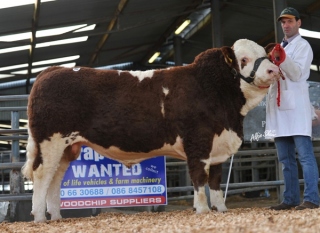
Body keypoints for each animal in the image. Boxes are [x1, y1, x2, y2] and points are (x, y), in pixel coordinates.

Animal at [22, 39, 278, 223]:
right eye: (244, 59)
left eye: (266, 56)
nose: (273, 70)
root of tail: (51, 71)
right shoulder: (197, 141)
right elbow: (199, 177)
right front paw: (203, 210)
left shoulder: (218, 144)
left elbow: (215, 180)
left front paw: (221, 209)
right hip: (50, 141)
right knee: (43, 175)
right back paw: (39, 218)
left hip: (67, 147)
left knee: (55, 178)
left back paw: (56, 216)